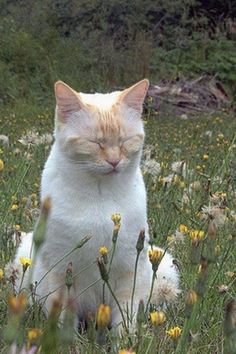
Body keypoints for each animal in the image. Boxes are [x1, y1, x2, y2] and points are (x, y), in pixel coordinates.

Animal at [10, 79, 178, 328]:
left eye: (124, 141)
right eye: (95, 143)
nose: (114, 161)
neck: (101, 197)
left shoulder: (129, 271)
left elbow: (125, 320)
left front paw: (126, 339)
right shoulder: (62, 273)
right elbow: (62, 323)